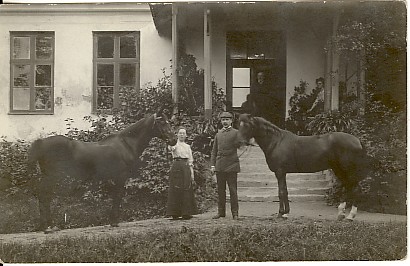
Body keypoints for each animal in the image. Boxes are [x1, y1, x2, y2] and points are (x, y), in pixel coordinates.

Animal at [26, 111, 178, 232]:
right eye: (162, 122)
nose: (174, 140)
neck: (126, 144)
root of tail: (41, 142)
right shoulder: (121, 176)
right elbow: (117, 197)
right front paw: (114, 222)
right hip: (53, 177)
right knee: (44, 195)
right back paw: (47, 227)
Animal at [237, 114, 368, 220]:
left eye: (247, 125)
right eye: (239, 125)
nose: (240, 142)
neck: (277, 142)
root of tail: (357, 141)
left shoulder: (279, 172)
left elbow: (281, 192)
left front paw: (281, 213)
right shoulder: (283, 172)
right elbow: (285, 191)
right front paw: (286, 213)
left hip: (347, 169)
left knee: (355, 189)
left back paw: (350, 216)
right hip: (339, 169)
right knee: (347, 187)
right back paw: (341, 214)